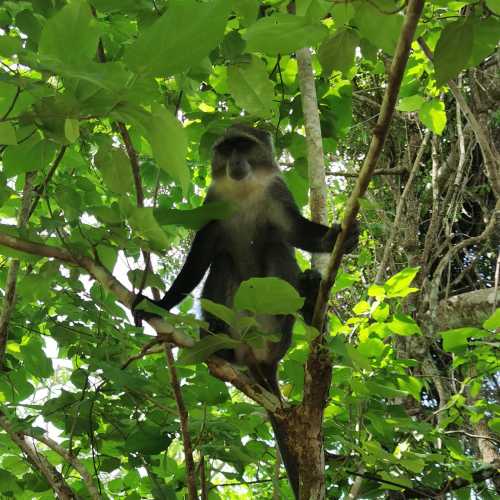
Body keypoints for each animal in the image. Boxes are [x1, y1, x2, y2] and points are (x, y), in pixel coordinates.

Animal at [134, 123, 360, 498]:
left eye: (244, 145)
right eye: (227, 149)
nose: (235, 162)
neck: (244, 190)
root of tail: (259, 359)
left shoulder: (277, 193)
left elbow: (294, 232)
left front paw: (336, 239)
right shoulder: (213, 203)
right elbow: (199, 259)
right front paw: (158, 304)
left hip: (278, 332)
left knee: (275, 247)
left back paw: (309, 296)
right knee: (223, 263)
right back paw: (217, 345)